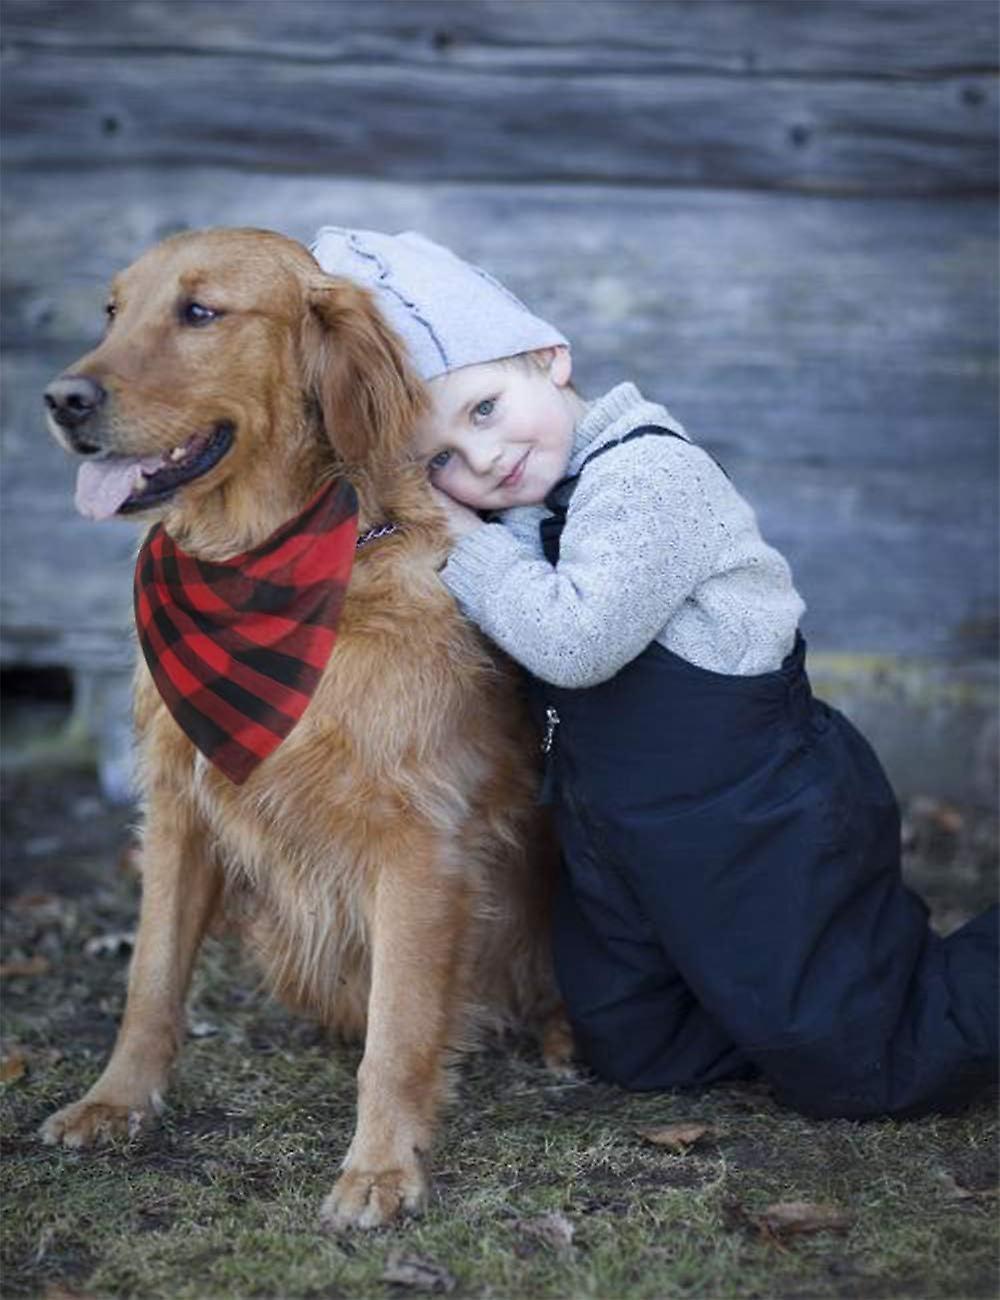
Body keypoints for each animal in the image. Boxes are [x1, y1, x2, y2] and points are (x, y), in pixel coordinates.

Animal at [40, 228, 569, 1232]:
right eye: (112, 311)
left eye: (200, 312)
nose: (61, 400)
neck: (258, 563)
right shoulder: (176, 805)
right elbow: (149, 981)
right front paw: (116, 1103)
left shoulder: (419, 840)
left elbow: (399, 1030)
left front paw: (381, 1168)